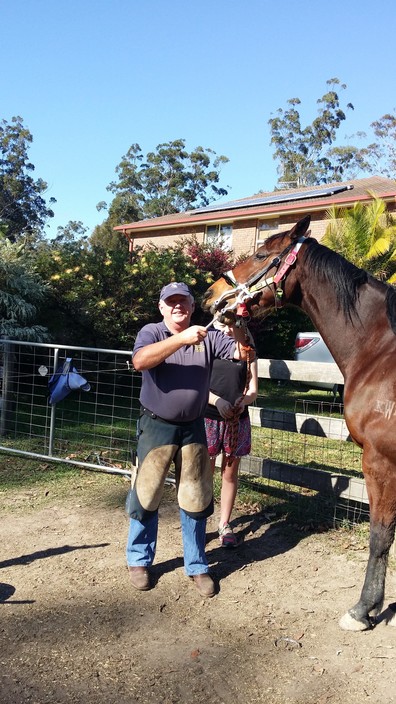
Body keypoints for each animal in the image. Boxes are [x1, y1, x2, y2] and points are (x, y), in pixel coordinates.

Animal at [203, 214, 396, 632]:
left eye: (261, 254)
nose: (212, 294)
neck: (381, 352)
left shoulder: (380, 461)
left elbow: (380, 536)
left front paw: (363, 610)